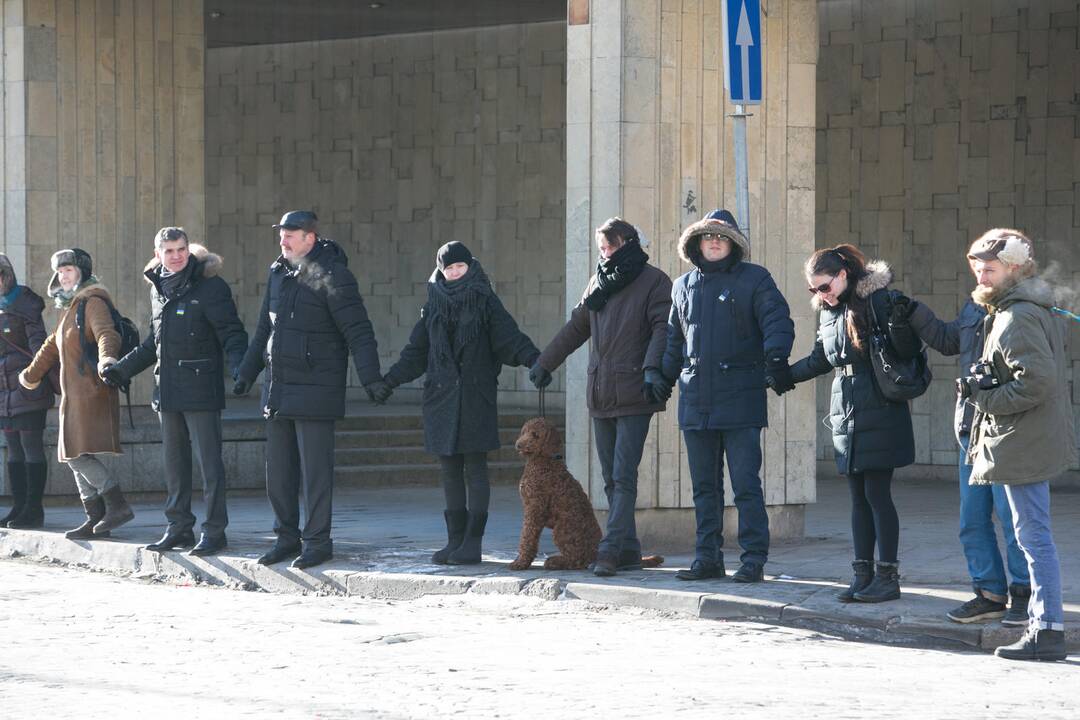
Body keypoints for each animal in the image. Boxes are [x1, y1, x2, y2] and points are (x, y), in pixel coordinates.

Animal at [507, 418, 660, 569]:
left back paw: (555, 561)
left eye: (535, 435)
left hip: (562, 529)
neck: (544, 462)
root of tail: (596, 553)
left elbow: (527, 536)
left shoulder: (534, 508)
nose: (518, 445)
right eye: (524, 432)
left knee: (577, 559)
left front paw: (520, 562)